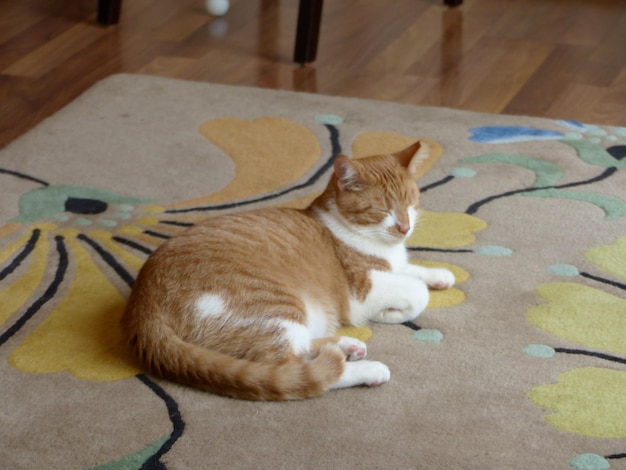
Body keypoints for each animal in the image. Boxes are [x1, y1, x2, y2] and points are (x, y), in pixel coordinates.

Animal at [120, 140, 454, 400]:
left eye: (411, 204)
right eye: (382, 210)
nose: (404, 228)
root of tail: (143, 304)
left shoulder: (394, 264)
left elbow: (412, 270)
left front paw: (440, 275)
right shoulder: (365, 286)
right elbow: (416, 292)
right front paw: (394, 312)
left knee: (302, 350)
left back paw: (347, 345)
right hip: (277, 305)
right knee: (293, 368)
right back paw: (365, 368)